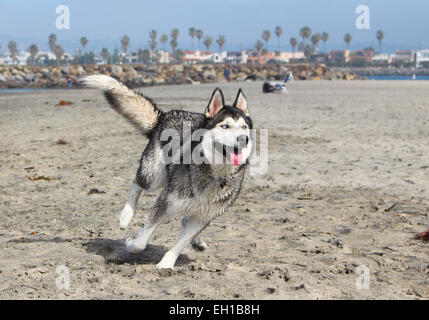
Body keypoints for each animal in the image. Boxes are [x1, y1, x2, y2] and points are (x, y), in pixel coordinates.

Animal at [80, 76, 251, 268]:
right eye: (225, 126)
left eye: (244, 127)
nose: (244, 139)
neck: (214, 174)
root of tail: (165, 116)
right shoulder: (165, 201)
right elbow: (141, 242)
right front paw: (131, 243)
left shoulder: (203, 218)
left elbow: (180, 243)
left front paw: (166, 264)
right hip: (154, 175)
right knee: (137, 183)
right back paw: (126, 215)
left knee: (184, 220)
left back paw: (197, 241)